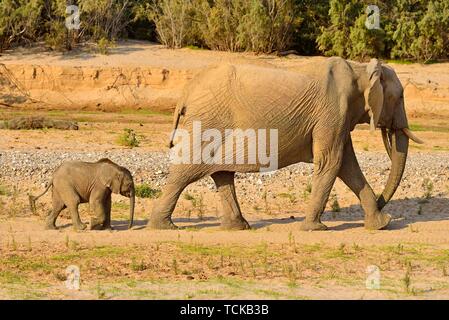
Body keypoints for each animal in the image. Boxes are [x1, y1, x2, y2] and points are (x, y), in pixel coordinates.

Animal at [149, 57, 422, 231]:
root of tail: (187, 90)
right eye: (400, 97)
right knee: (186, 171)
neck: (361, 69)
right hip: (208, 120)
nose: (382, 202)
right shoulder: (333, 112)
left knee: (221, 173)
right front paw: (314, 229)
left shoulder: (339, 119)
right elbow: (331, 162)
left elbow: (347, 165)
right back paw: (164, 227)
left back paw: (238, 227)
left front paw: (382, 224)